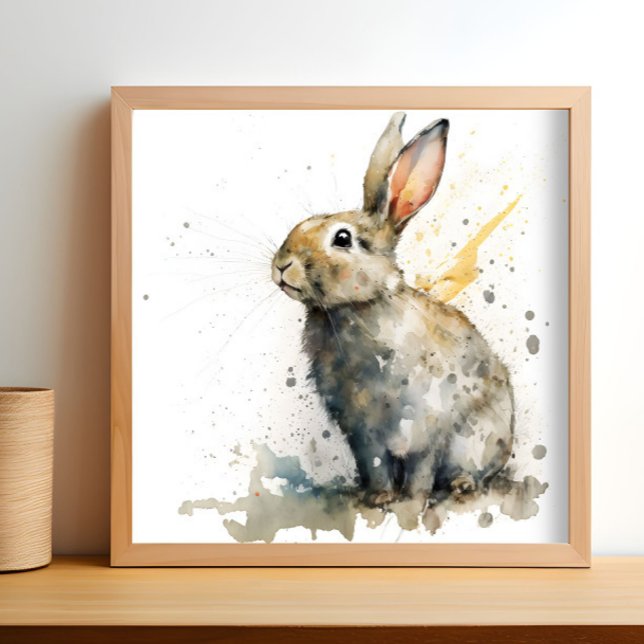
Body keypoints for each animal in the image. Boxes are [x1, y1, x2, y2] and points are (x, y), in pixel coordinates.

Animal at [271, 112, 514, 508]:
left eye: (342, 238)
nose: (281, 265)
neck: (355, 308)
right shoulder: (362, 433)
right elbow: (374, 465)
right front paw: (379, 497)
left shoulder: (426, 423)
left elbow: (422, 467)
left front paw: (413, 500)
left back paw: (462, 485)